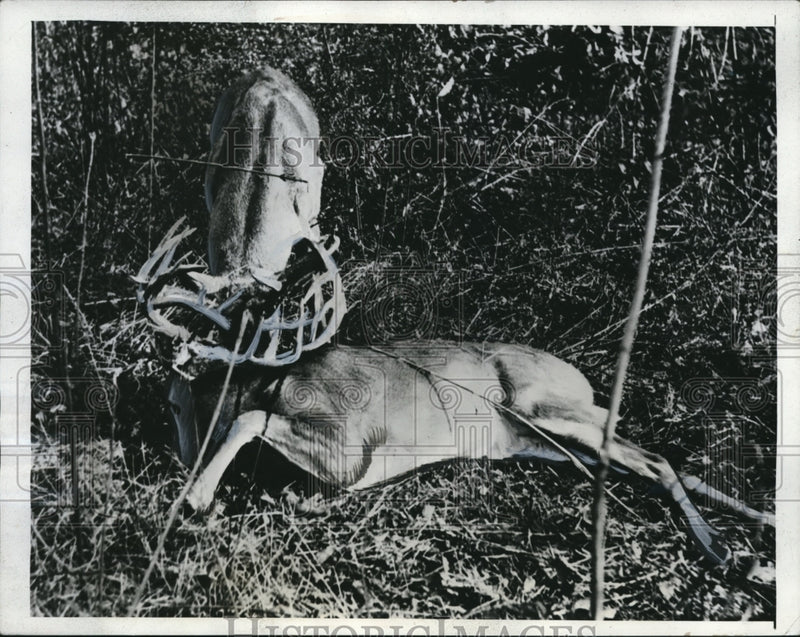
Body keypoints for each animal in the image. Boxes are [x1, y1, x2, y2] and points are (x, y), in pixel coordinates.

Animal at [135, 67, 774, 567]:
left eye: (208, 390)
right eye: (172, 406)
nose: (180, 456)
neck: (275, 378)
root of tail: (584, 379)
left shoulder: (351, 445)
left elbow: (253, 422)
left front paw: (197, 498)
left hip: (539, 405)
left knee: (658, 460)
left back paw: (726, 552)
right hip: (545, 438)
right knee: (654, 464)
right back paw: (754, 535)